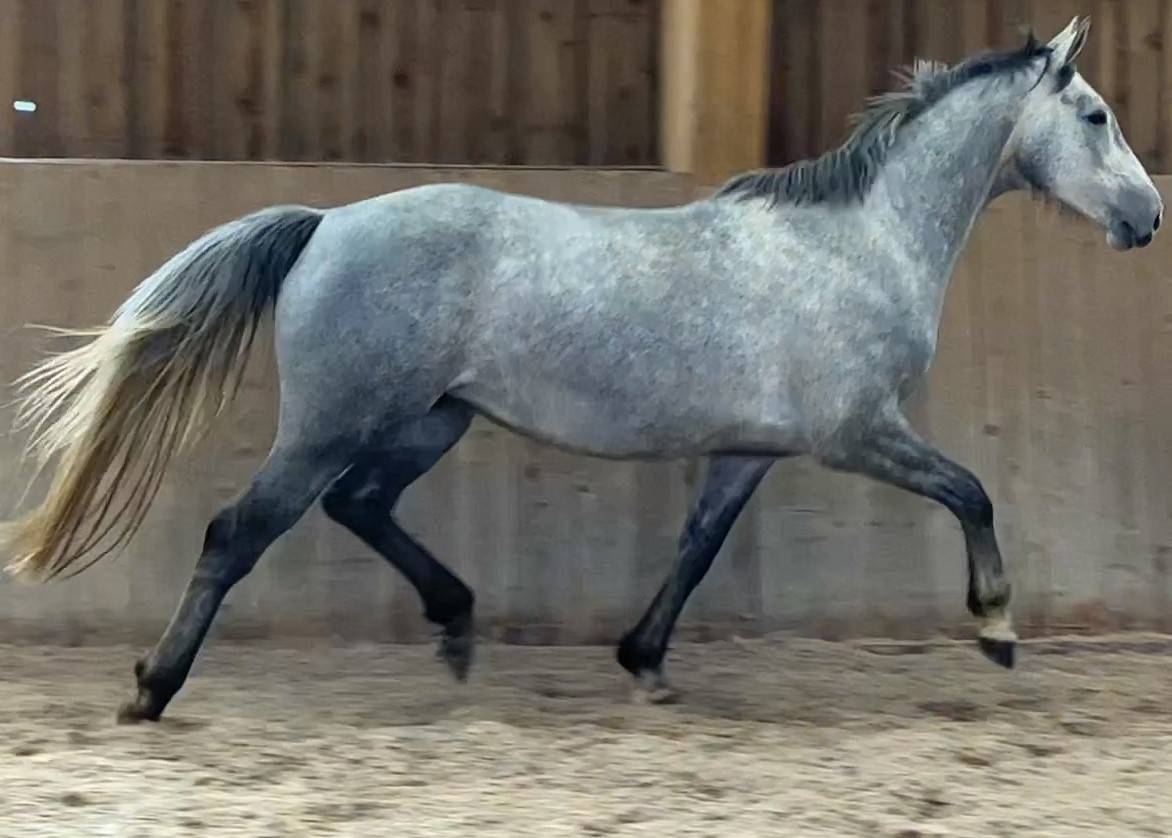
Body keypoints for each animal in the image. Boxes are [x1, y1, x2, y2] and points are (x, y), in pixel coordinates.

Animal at [2, 18, 1161, 723]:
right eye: (1096, 115)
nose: (1147, 218)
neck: (857, 243)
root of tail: (326, 220)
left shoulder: (751, 449)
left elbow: (696, 550)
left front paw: (642, 661)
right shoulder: (857, 435)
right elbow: (972, 490)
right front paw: (997, 627)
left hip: (432, 419)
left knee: (360, 507)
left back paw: (457, 628)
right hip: (334, 424)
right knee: (238, 533)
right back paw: (151, 689)